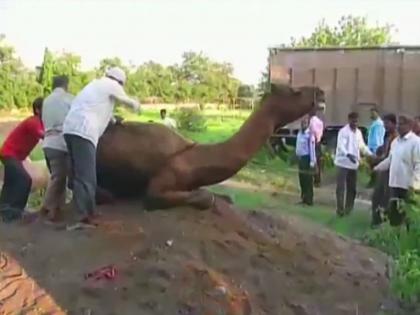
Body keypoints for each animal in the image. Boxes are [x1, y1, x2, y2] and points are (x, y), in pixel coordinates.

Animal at [97, 85, 326, 211]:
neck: (195, 158)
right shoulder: (159, 184)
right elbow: (206, 197)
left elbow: (221, 196)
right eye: (296, 91)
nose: (321, 92)